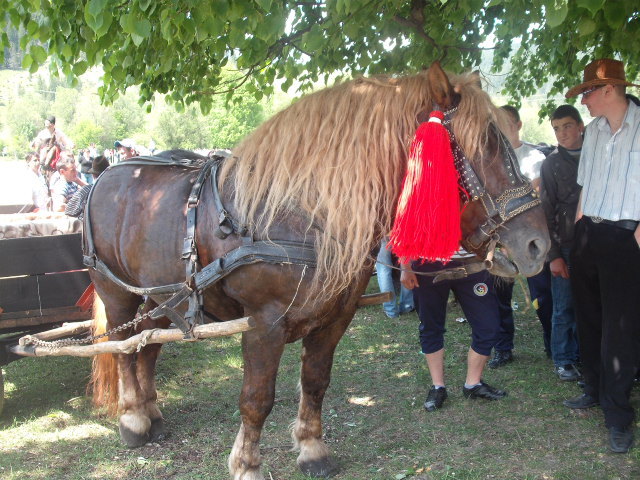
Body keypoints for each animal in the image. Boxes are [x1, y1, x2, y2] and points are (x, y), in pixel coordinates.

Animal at [89, 63, 552, 480]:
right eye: (485, 144)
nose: (538, 245)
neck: (303, 213)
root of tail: (107, 175)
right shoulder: (263, 325)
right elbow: (256, 398)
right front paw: (247, 465)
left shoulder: (335, 318)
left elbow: (315, 382)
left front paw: (312, 450)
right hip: (118, 295)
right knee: (122, 348)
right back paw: (133, 420)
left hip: (161, 297)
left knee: (146, 345)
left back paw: (150, 411)